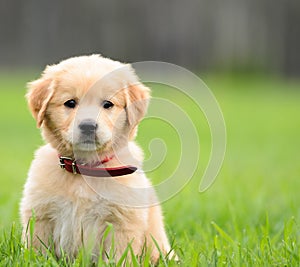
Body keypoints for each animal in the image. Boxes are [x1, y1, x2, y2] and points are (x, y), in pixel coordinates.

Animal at [19, 55, 171, 264]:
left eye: (107, 104)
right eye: (70, 103)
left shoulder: (122, 222)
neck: (85, 168)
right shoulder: (40, 215)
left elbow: (119, 258)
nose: (88, 126)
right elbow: (38, 251)